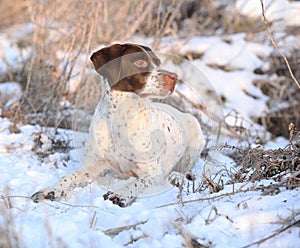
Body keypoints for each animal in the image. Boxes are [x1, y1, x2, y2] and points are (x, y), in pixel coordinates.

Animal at [31, 43, 205, 207]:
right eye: (140, 62)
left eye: (157, 62)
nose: (174, 77)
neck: (119, 117)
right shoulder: (94, 167)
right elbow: (69, 177)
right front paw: (50, 190)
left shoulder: (153, 173)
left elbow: (136, 183)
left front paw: (120, 194)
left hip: (195, 132)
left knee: (185, 169)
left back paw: (176, 176)